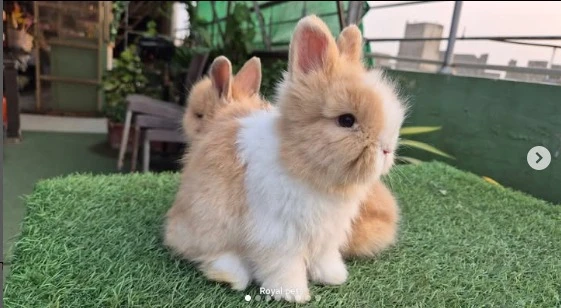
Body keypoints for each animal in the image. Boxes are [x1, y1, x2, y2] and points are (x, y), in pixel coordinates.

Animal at [164, 15, 404, 304]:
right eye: (346, 120)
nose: (387, 149)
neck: (302, 163)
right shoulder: (278, 236)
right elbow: (285, 265)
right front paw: (292, 294)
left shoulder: (327, 234)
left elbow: (324, 257)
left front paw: (334, 277)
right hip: (209, 226)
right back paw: (230, 276)